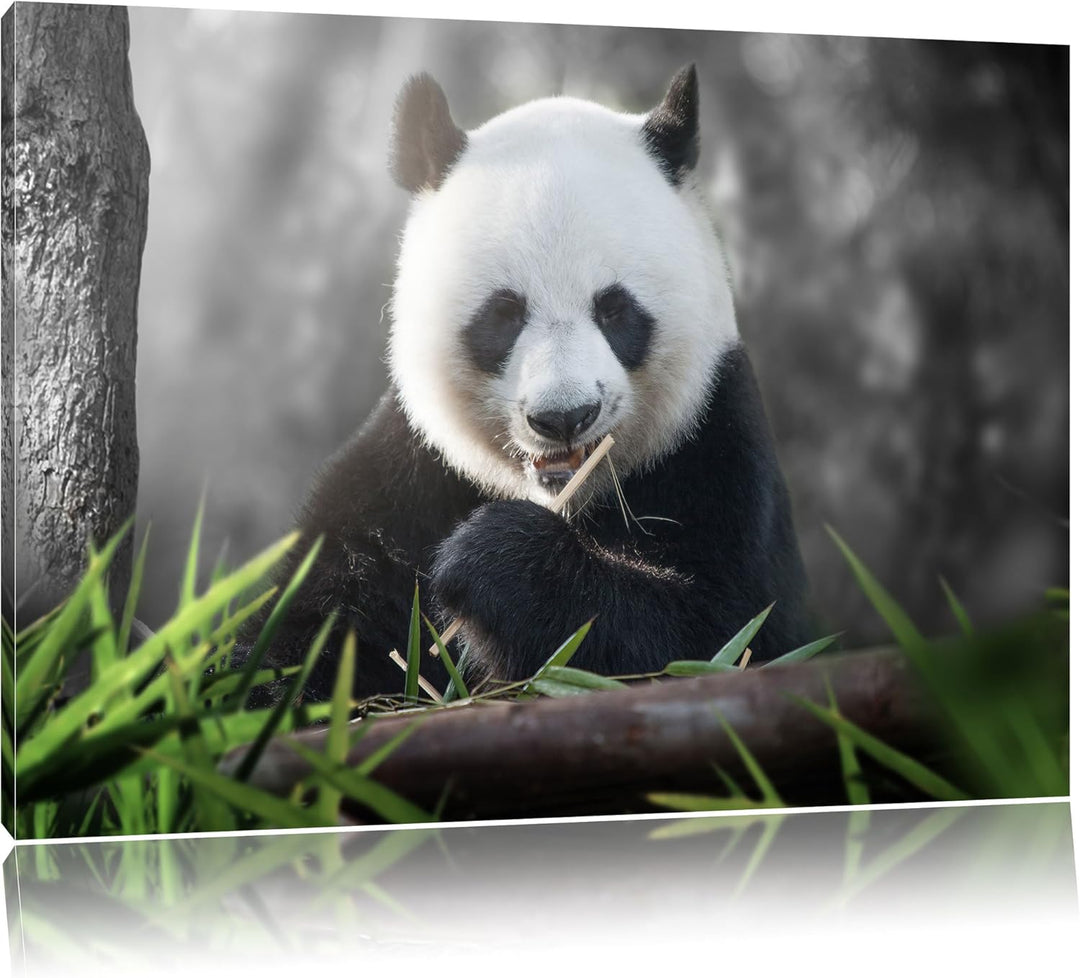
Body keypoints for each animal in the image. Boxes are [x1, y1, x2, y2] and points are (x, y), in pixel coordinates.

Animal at [245, 65, 811, 703]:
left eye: (614, 309)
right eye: (504, 313)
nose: (565, 416)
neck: (563, 497)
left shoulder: (713, 445)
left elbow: (720, 635)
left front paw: (490, 559)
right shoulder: (411, 472)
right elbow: (309, 621)